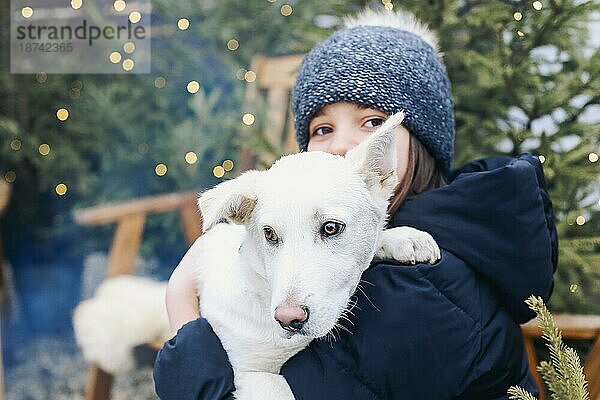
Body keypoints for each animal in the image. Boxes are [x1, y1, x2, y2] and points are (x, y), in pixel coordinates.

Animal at [195, 110, 438, 400]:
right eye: (269, 234)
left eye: (331, 228)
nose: (288, 320)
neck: (262, 291)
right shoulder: (250, 373)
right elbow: (280, 390)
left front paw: (403, 238)